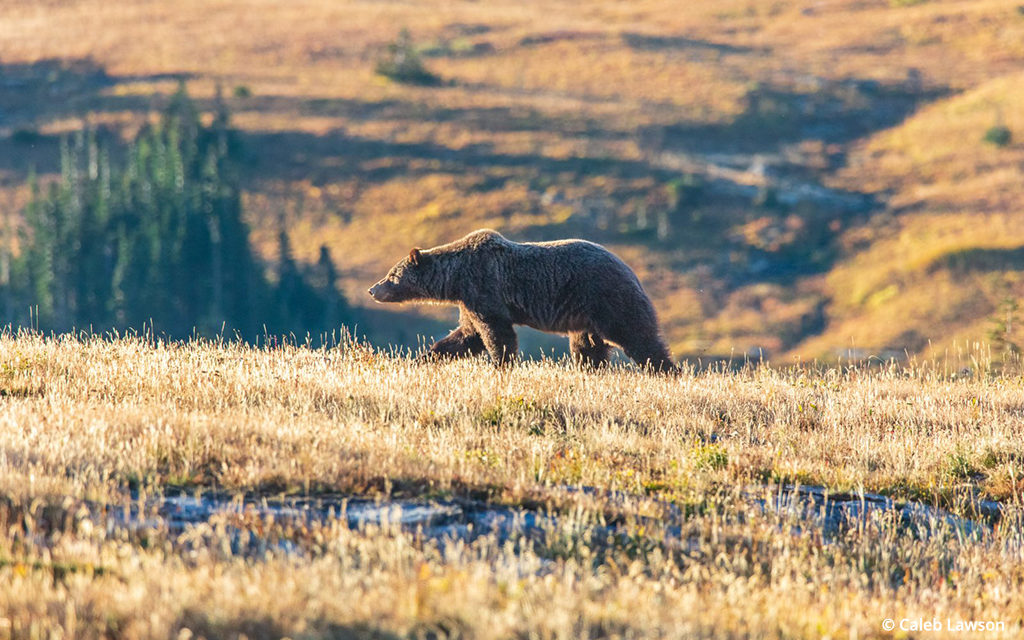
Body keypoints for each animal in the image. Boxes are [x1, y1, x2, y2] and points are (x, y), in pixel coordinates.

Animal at [370, 228, 679, 368]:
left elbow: (496, 333)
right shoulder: (469, 301)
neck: (454, 279)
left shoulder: (483, 286)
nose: (373, 289)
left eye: (391, 274)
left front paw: (501, 364)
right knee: (588, 347)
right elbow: (465, 336)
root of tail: (630, 271)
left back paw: (666, 370)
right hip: (585, 316)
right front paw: (423, 358)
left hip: (607, 297)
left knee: (636, 335)